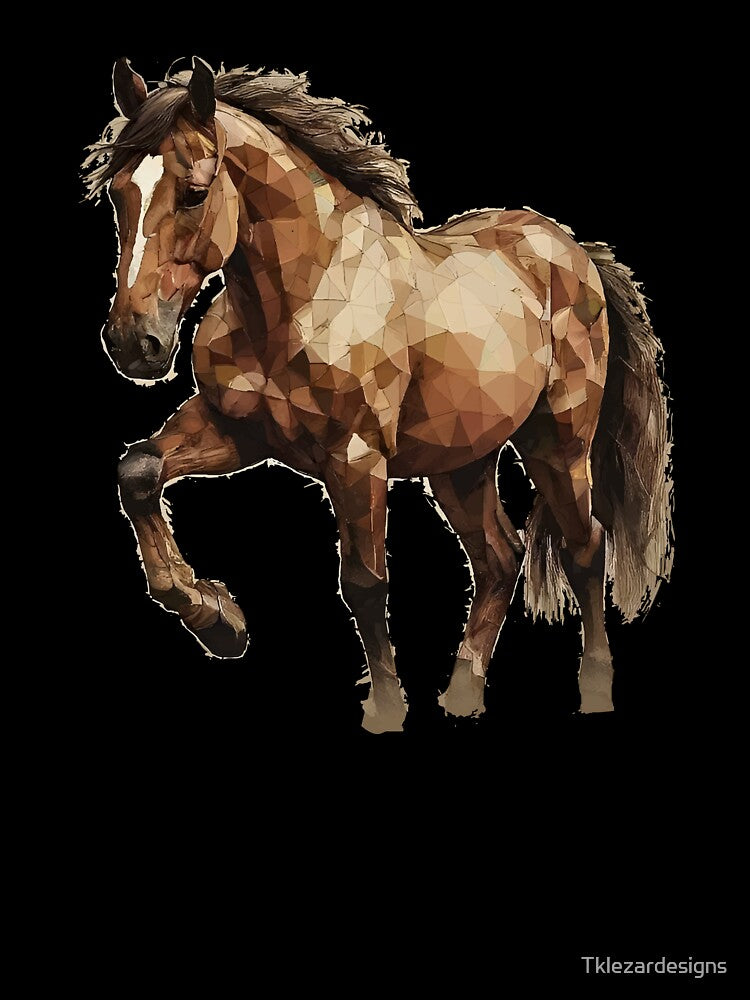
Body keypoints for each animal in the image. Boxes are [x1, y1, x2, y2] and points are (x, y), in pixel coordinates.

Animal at [83, 57, 673, 733]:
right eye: (118, 192)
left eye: (196, 192)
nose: (133, 341)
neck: (304, 295)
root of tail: (575, 252)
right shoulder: (238, 432)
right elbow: (138, 471)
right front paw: (218, 620)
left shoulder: (354, 458)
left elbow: (364, 582)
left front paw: (386, 709)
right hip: (462, 460)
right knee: (499, 557)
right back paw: (463, 694)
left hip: (559, 445)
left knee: (585, 547)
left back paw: (594, 690)